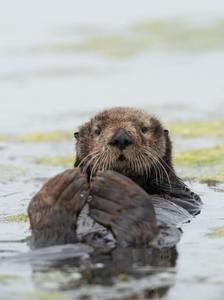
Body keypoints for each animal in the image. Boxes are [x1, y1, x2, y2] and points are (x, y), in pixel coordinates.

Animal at [27, 108, 202, 248]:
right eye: (97, 131)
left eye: (144, 129)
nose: (121, 137)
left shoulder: (184, 194)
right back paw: (58, 194)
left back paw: (119, 195)